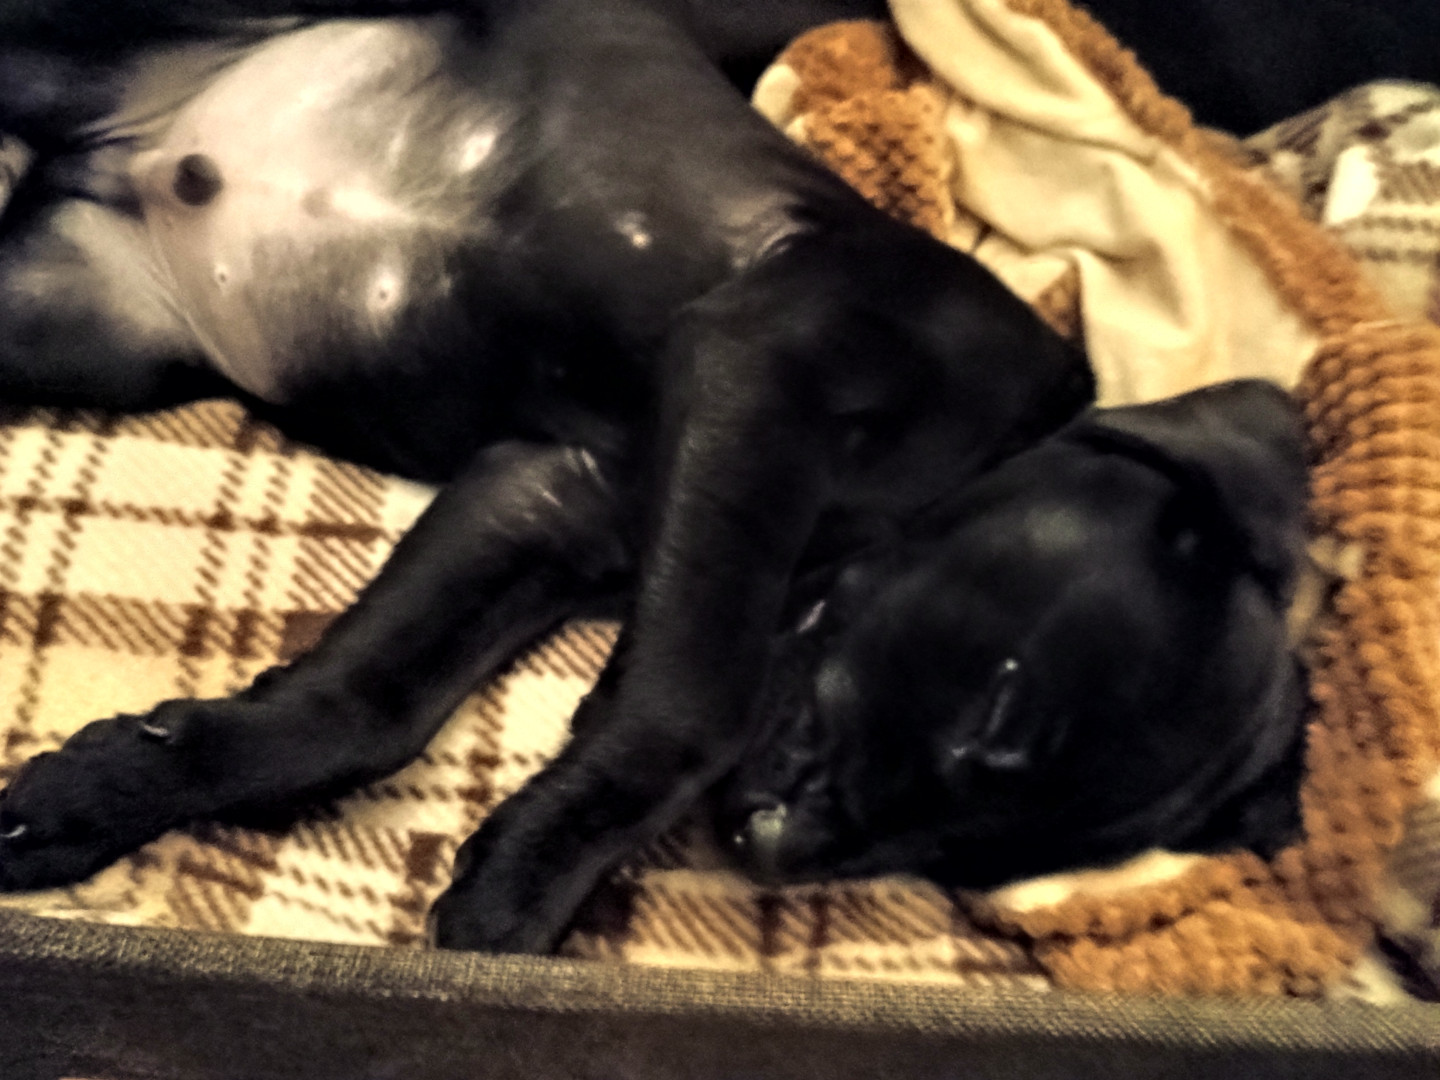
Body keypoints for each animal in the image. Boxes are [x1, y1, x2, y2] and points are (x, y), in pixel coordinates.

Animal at [0, 0, 1310, 954]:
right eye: (998, 701)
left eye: (970, 856)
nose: (775, 856)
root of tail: (107, 148)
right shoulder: (766, 359)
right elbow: (695, 705)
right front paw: (530, 883)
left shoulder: (551, 497)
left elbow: (363, 708)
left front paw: (113, 789)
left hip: (77, 327)